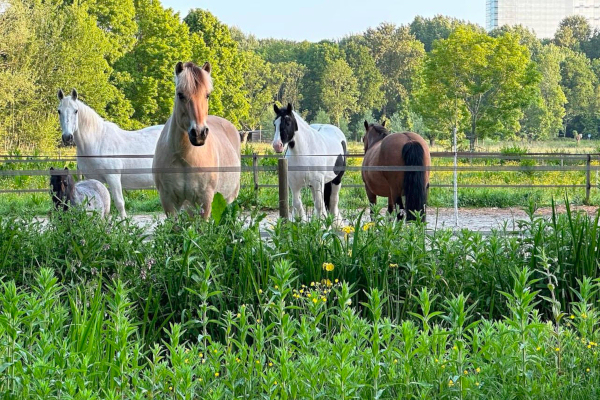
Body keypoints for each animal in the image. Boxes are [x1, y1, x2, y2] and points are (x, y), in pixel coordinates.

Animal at [57, 88, 163, 217]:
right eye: (59, 111)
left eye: (76, 111)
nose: (67, 137)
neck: (97, 141)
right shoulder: (92, 178)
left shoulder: (113, 178)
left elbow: (119, 203)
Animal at [152, 61, 241, 219]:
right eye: (180, 94)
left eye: (207, 95)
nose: (199, 133)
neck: (184, 157)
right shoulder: (168, 200)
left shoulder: (205, 200)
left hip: (228, 199)